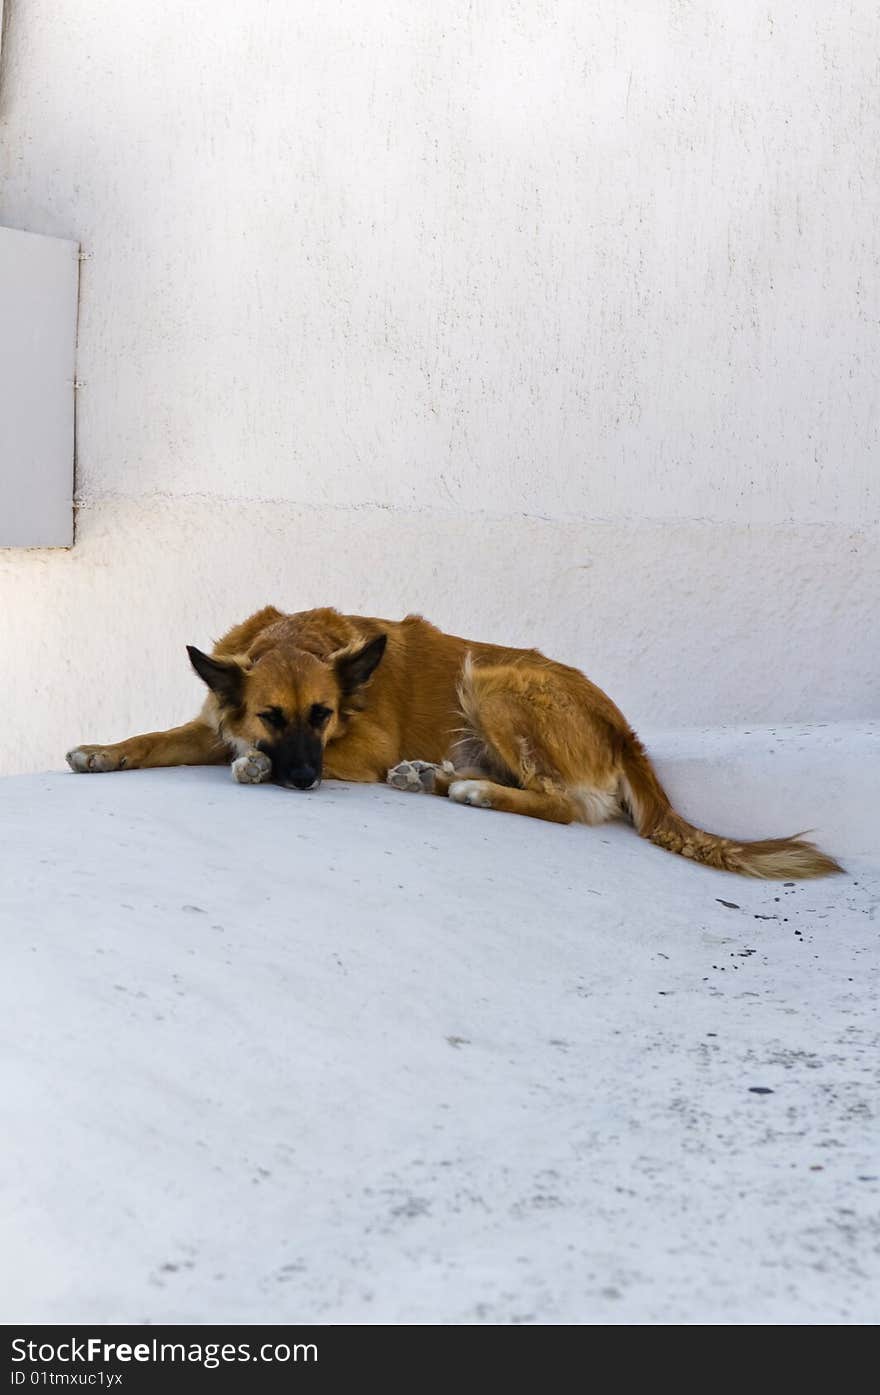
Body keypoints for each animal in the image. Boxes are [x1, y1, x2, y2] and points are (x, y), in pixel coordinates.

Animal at [67, 605, 842, 876]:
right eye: (273, 715)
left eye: (322, 715)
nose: (305, 781)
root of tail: (625, 732)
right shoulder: (210, 723)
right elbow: (154, 737)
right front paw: (101, 751)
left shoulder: (359, 748)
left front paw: (253, 767)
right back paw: (432, 777)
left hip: (493, 680)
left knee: (564, 803)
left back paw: (465, 787)